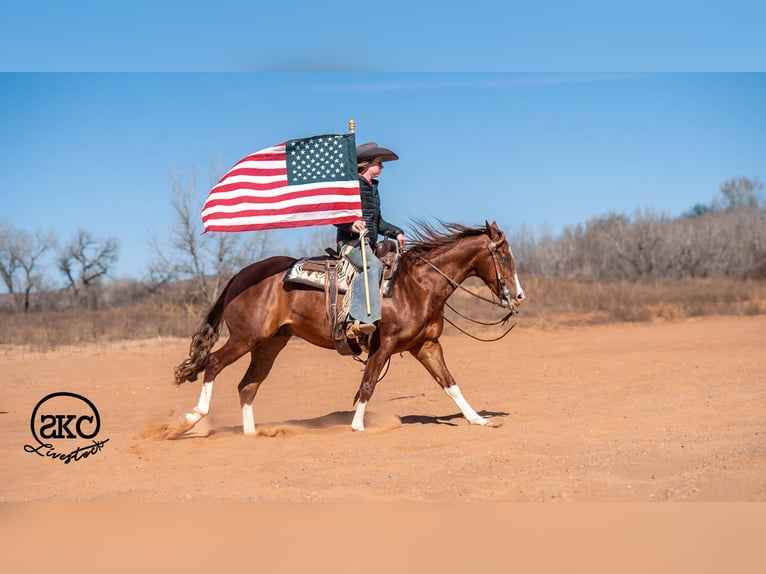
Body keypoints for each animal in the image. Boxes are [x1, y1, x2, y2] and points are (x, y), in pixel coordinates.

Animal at [171, 220, 525, 437]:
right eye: (505, 258)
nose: (518, 295)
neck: (415, 286)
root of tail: (240, 275)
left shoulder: (426, 346)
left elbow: (450, 384)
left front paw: (478, 419)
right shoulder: (384, 345)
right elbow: (367, 384)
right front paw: (357, 425)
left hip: (269, 344)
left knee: (247, 385)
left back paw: (250, 434)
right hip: (246, 338)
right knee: (213, 363)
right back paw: (190, 418)